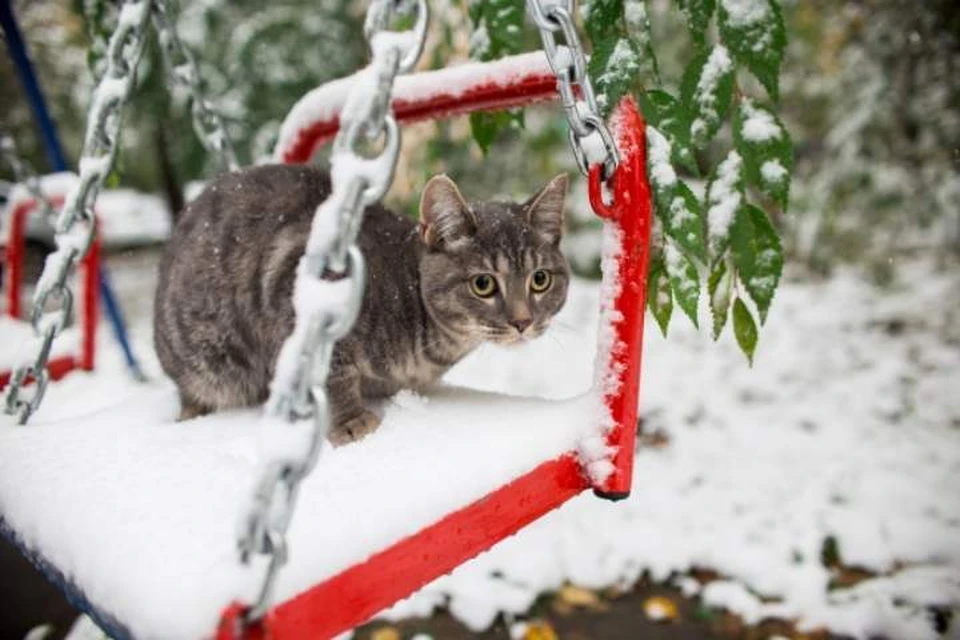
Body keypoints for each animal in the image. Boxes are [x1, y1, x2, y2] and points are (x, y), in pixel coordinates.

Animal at [153, 165, 568, 444]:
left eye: (540, 279)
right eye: (483, 284)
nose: (522, 321)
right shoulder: (302, 296)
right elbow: (332, 373)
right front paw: (350, 419)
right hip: (209, 363)